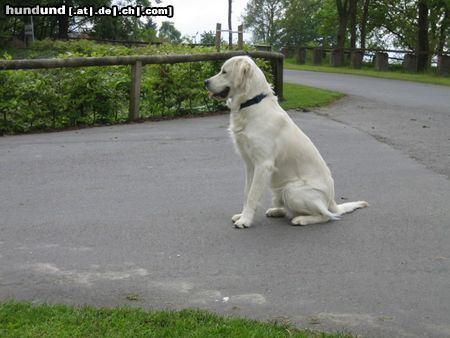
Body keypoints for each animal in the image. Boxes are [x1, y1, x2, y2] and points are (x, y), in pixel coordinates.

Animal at [206, 56, 368, 230]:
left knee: (326, 216)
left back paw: (302, 219)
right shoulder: (250, 164)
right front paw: (242, 215)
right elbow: (246, 192)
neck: (252, 102)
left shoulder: (263, 164)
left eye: (224, 71)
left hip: (291, 190)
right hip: (279, 190)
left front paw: (245, 220)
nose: (205, 82)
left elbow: (252, 196)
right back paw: (276, 211)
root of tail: (332, 202)